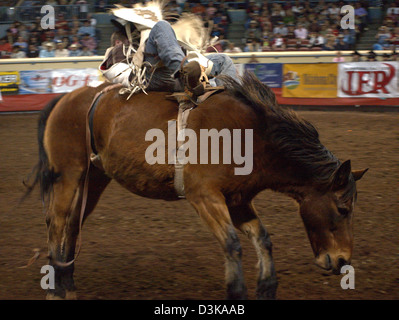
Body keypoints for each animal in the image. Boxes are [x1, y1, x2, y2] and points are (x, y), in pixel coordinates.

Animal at [25, 72, 368, 300]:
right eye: (343, 208)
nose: (342, 262)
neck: (251, 136)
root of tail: (66, 98)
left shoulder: (238, 200)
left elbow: (263, 239)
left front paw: (267, 286)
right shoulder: (204, 196)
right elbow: (232, 244)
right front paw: (237, 291)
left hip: (94, 179)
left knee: (72, 225)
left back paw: (68, 285)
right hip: (69, 174)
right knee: (57, 223)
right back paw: (56, 288)